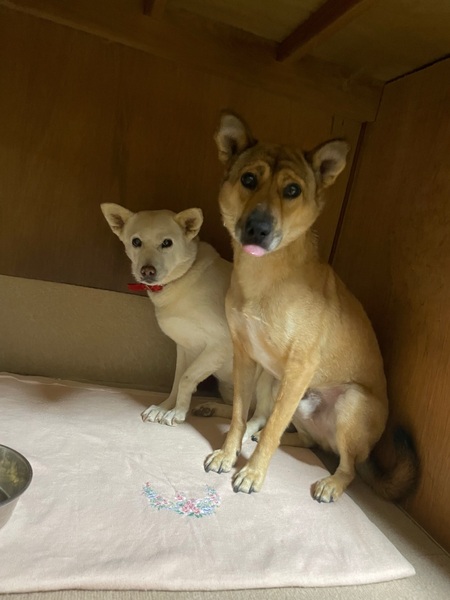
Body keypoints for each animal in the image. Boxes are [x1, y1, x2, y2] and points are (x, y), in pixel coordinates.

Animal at [101, 203, 272, 432]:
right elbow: (177, 381)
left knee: (260, 416)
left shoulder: (222, 343)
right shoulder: (184, 348)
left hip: (266, 375)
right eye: (136, 241)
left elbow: (186, 378)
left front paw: (177, 413)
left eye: (167, 243)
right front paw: (165, 407)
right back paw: (211, 408)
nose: (147, 271)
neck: (182, 281)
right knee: (242, 410)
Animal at [204, 112, 418, 502]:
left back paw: (331, 483)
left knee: (347, 468)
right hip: (282, 389)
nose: (257, 228)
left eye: (292, 190)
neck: (264, 276)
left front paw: (253, 472)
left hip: (347, 402)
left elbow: (272, 427)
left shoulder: (299, 368)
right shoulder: (246, 357)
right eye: (248, 179)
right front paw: (229, 453)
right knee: (303, 440)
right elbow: (242, 414)